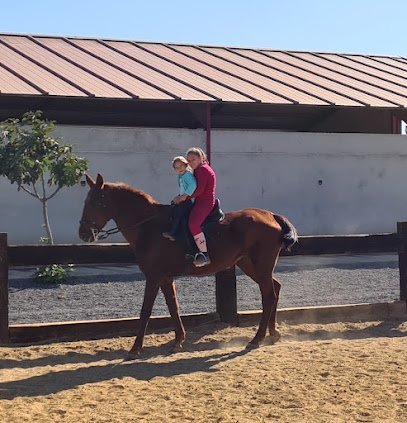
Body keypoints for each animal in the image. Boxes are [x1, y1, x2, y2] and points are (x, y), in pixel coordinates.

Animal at [79, 174, 300, 360]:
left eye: (95, 202)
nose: (83, 233)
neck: (149, 227)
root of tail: (270, 215)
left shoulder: (153, 277)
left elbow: (145, 311)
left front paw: (135, 348)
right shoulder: (165, 278)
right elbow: (173, 307)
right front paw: (178, 341)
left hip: (260, 265)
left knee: (269, 295)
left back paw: (257, 338)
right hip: (249, 264)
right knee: (274, 289)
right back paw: (272, 333)